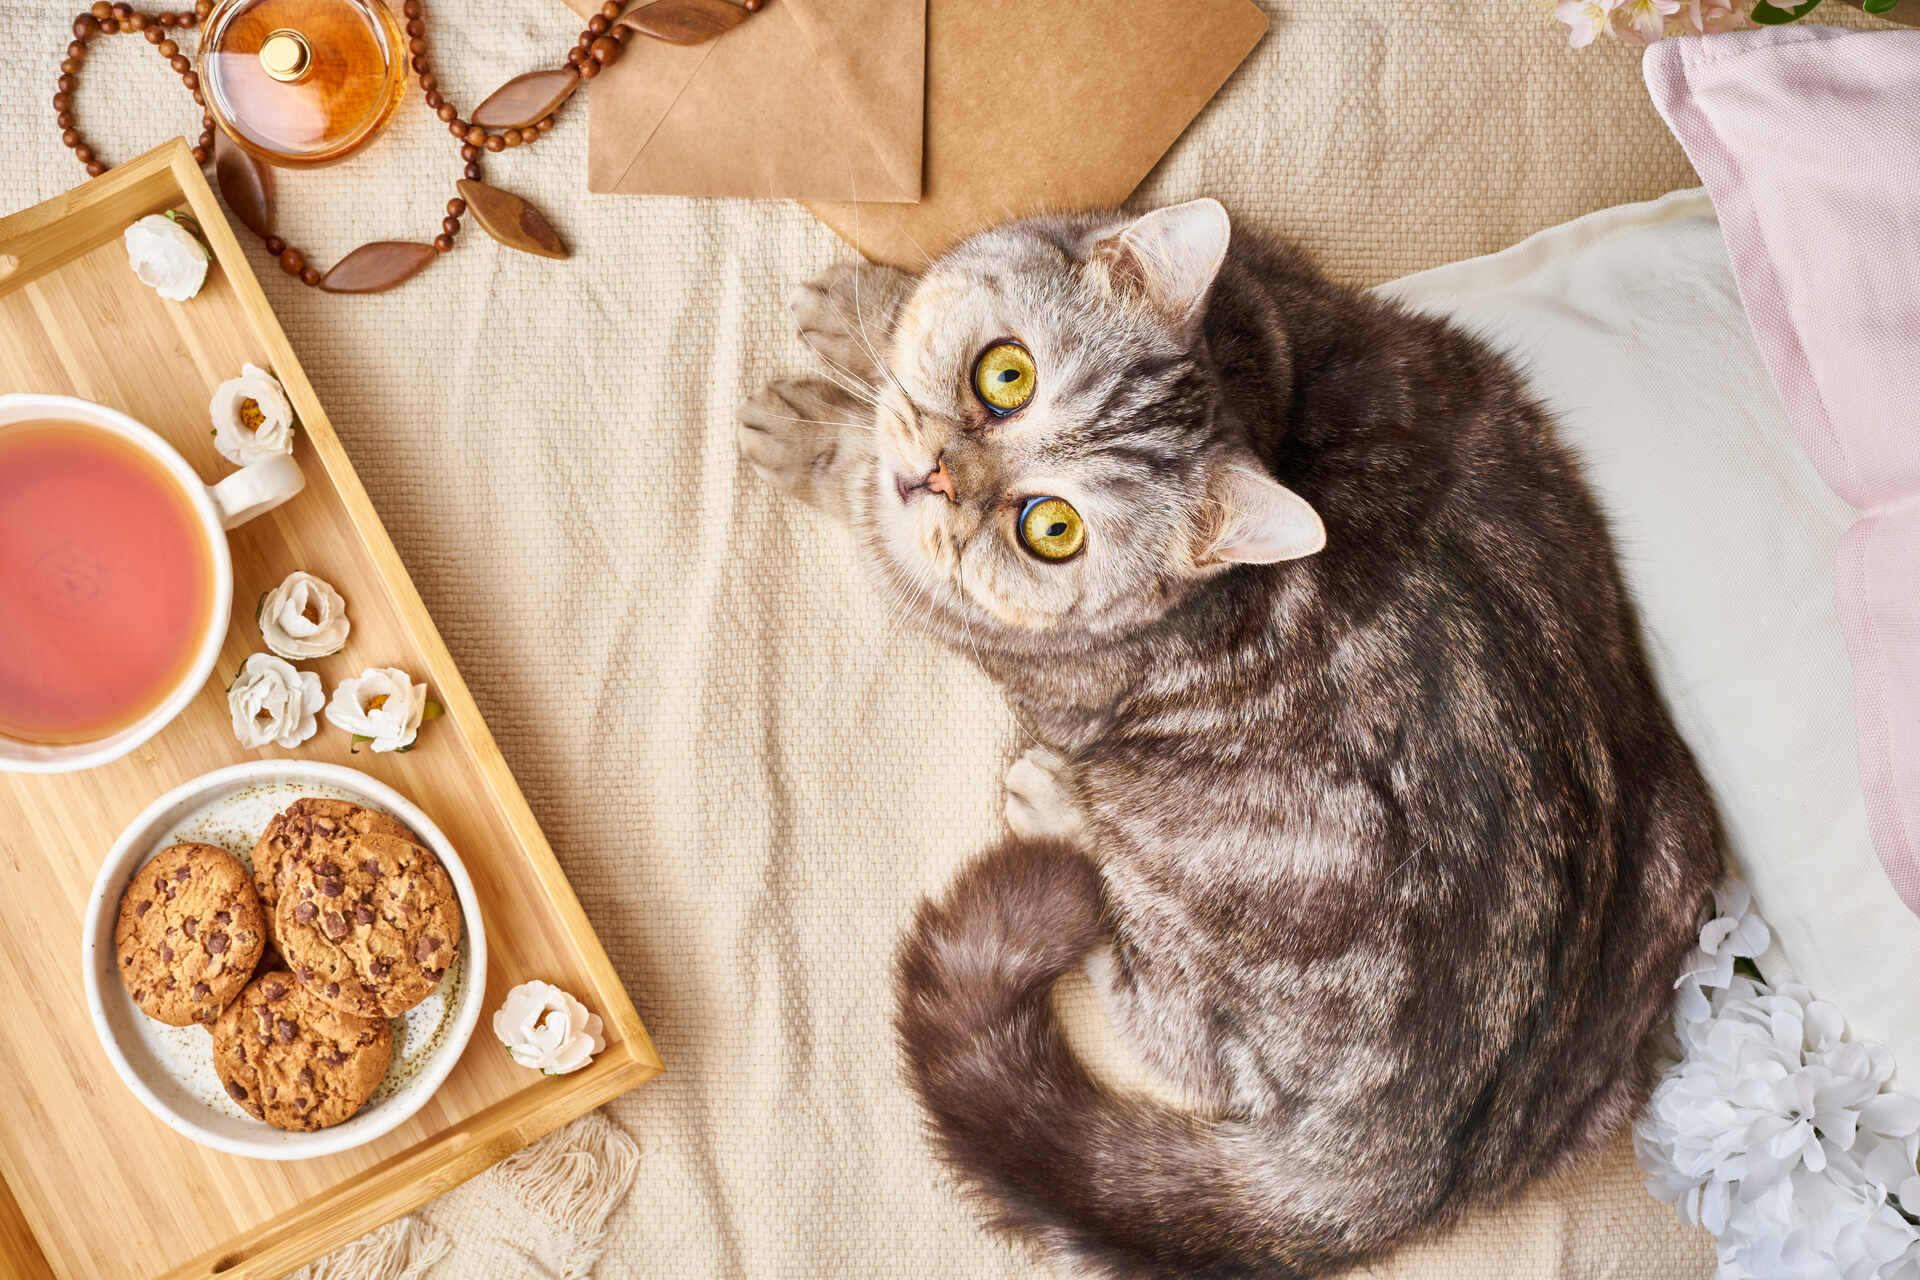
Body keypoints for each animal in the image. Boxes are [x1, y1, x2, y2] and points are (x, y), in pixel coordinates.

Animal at [733, 202, 1728, 1280]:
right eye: (1005, 376)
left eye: (1052, 528)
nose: (938, 479)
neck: (1256, 375)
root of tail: (1405, 1171)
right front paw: (864, 308)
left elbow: (859, 491)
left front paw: (814, 428)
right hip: (1676, 858)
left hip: (1187, 849)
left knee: (1158, 1002)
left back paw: (1055, 807)